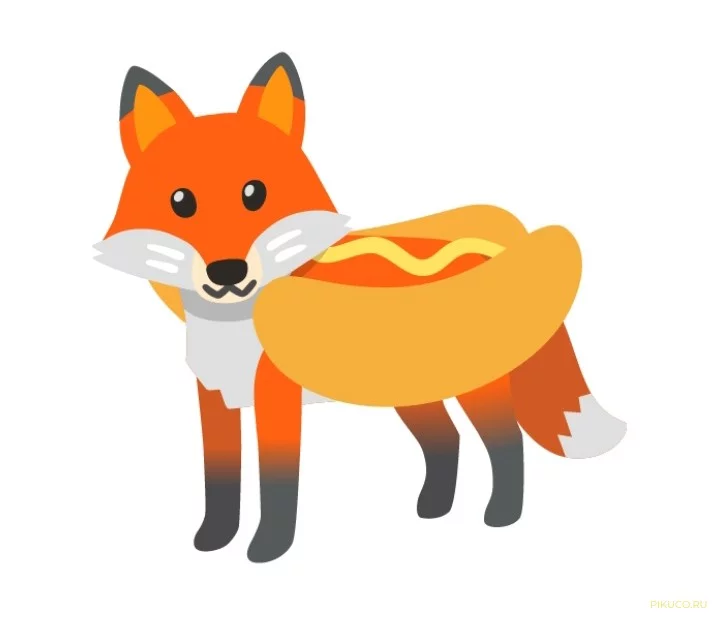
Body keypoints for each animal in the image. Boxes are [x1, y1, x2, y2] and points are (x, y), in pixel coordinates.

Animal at [94, 52, 627, 563]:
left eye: (255, 194)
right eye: (181, 201)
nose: (227, 272)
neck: (231, 330)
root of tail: (491, 247)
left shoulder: (276, 400)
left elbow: (277, 483)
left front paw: (267, 549)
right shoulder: (213, 401)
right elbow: (220, 481)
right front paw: (212, 540)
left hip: (476, 392)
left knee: (505, 443)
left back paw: (501, 516)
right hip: (411, 395)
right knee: (446, 440)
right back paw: (434, 509)